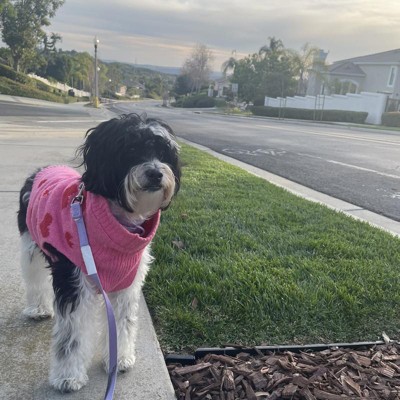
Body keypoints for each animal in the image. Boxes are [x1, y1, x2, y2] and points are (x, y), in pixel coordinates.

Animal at [17, 114, 181, 392]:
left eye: (162, 153)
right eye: (131, 149)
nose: (156, 173)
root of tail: (44, 169)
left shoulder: (127, 283)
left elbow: (123, 323)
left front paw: (120, 358)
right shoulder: (74, 282)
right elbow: (72, 336)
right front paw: (68, 377)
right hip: (30, 246)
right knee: (36, 280)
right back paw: (39, 308)